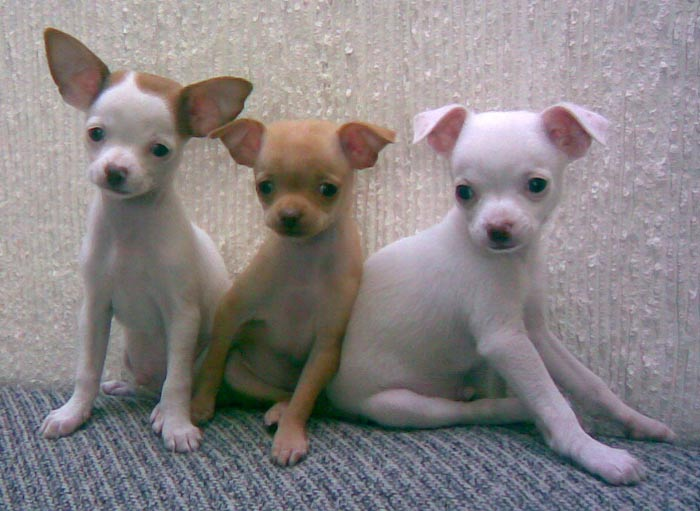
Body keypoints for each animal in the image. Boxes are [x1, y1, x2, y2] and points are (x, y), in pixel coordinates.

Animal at [38, 28, 252, 452]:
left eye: (159, 149)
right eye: (96, 134)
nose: (115, 170)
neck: (129, 228)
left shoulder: (182, 316)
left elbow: (178, 381)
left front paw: (177, 425)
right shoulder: (95, 308)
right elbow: (87, 368)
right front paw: (74, 412)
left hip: (203, 356)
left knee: (175, 384)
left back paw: (164, 411)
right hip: (131, 352)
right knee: (148, 384)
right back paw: (126, 387)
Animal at [191, 118, 394, 466]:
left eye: (328, 190)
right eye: (265, 187)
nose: (288, 216)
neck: (305, 257)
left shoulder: (326, 347)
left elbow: (304, 397)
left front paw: (289, 438)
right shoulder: (230, 313)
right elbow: (213, 361)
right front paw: (200, 404)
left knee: (300, 394)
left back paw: (281, 413)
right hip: (241, 373)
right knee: (275, 388)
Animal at [328, 103, 680, 484]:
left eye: (537, 185)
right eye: (463, 191)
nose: (497, 230)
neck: (513, 263)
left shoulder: (536, 333)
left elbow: (592, 384)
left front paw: (639, 422)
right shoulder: (505, 340)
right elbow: (553, 403)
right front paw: (594, 453)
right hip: (400, 405)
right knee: (467, 411)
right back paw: (514, 407)